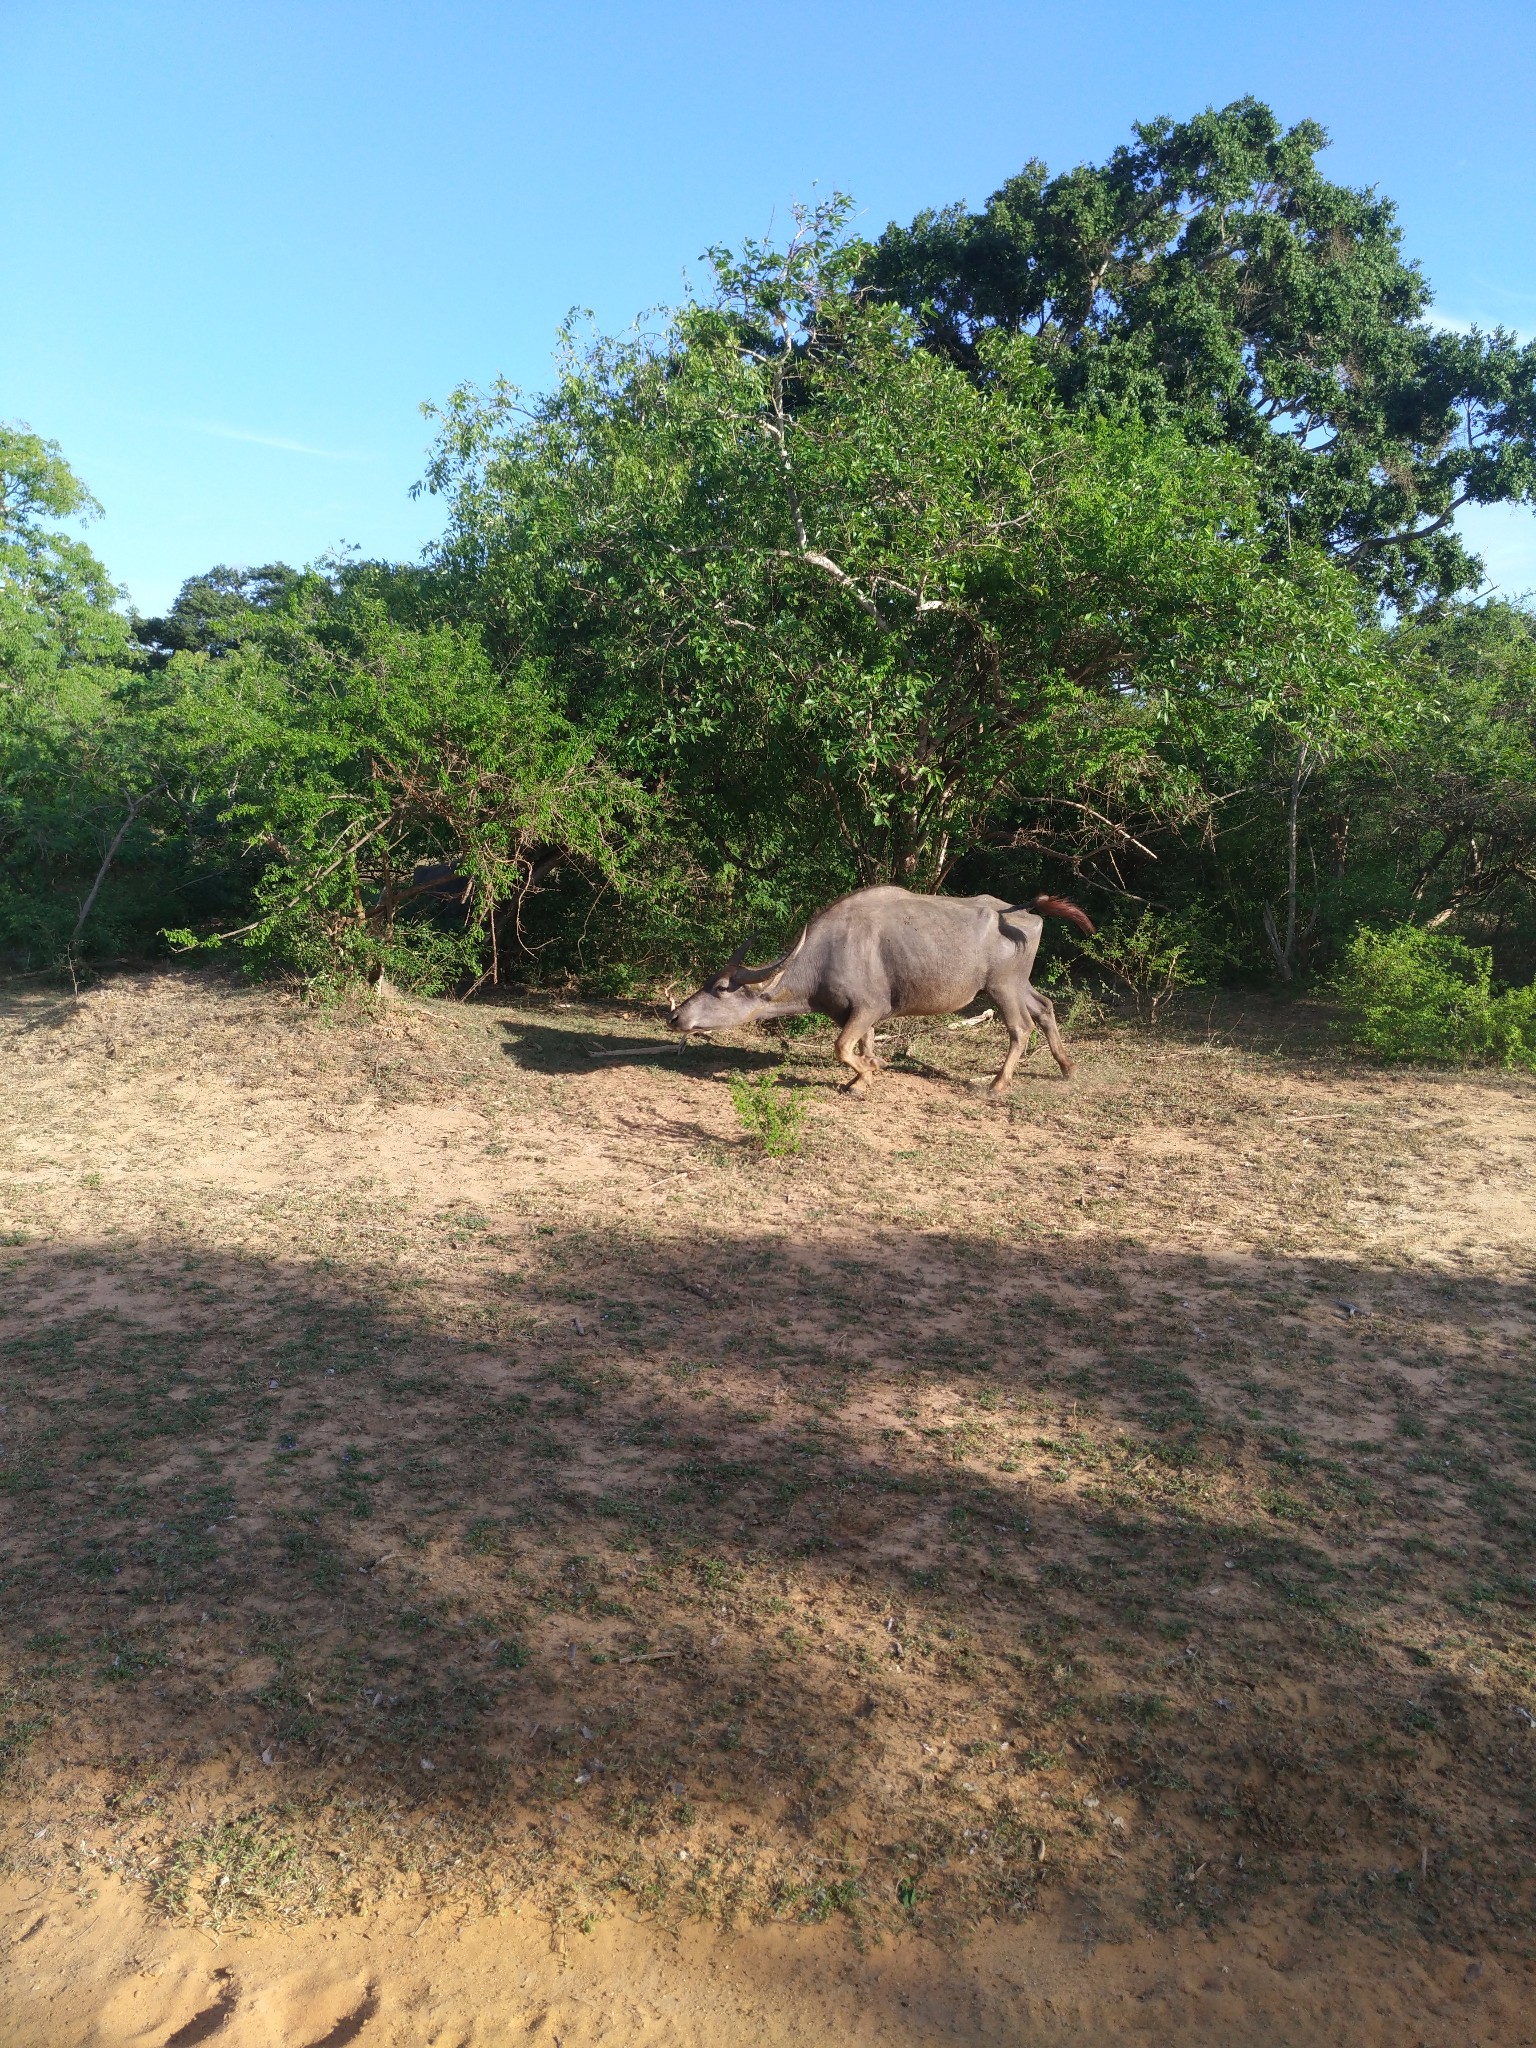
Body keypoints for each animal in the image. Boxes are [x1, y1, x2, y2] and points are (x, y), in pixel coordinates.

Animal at [671, 888, 1097, 1097]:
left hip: (1002, 987)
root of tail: (1020, 914)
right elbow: (864, 1044)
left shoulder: (867, 1008)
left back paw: (996, 1085)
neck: (826, 954)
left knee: (1021, 1027)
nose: (675, 1016)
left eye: (721, 988)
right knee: (1045, 1007)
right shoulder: (862, 1014)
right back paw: (1068, 1068)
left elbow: (842, 1047)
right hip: (1018, 984)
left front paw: (868, 1075)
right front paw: (865, 1075)